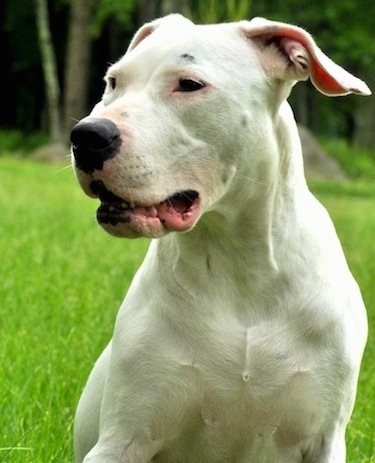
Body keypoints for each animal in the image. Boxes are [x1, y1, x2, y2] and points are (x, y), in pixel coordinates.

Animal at [70, 14, 370, 463]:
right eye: (114, 82)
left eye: (189, 84)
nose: (86, 136)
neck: (238, 262)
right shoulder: (122, 439)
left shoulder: (324, 438)